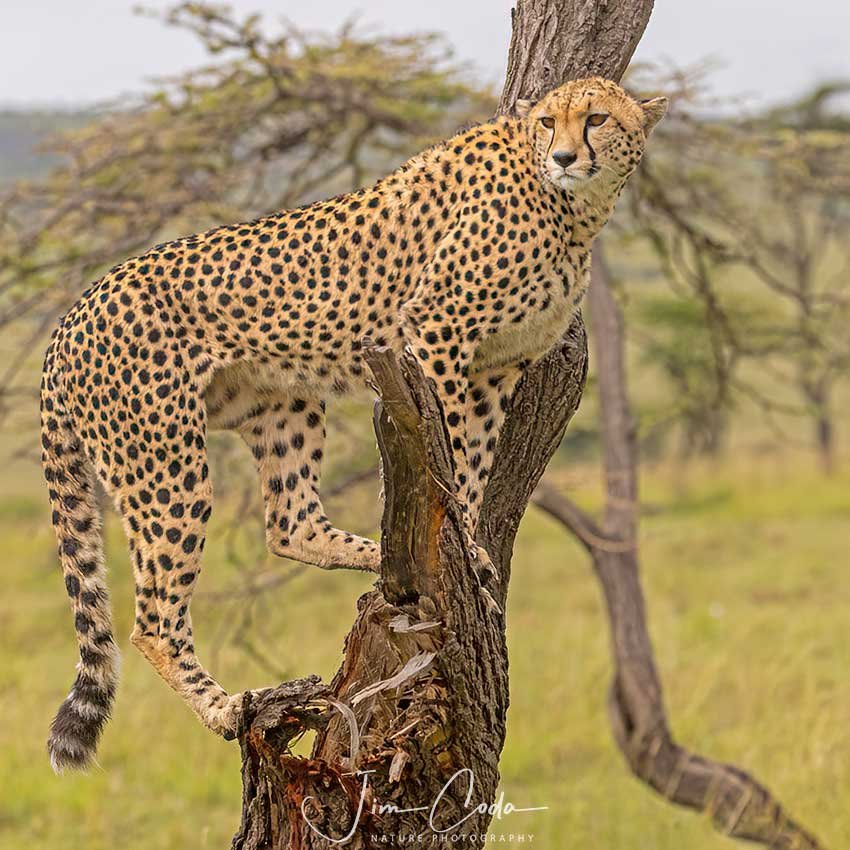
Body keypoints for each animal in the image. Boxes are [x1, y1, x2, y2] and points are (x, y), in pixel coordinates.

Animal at [40, 77, 666, 771]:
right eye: (550, 123)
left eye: (597, 119)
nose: (564, 156)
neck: (572, 208)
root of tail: (73, 314)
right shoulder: (437, 335)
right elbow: (450, 452)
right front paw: (466, 541)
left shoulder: (498, 369)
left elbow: (473, 461)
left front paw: (470, 548)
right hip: (165, 463)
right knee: (153, 618)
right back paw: (226, 707)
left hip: (281, 404)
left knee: (290, 525)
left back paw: (379, 559)